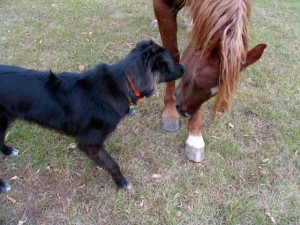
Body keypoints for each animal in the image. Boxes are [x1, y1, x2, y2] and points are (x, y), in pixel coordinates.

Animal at [0, 40, 185, 192]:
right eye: (171, 61)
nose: (185, 68)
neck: (120, 85)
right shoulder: (89, 143)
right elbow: (112, 164)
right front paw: (122, 183)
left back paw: (8, 151)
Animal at [154, 0, 266, 162]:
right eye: (194, 81)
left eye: (215, 93)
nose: (184, 112)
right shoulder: (163, 6)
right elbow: (172, 53)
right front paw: (169, 111)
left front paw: (195, 136)